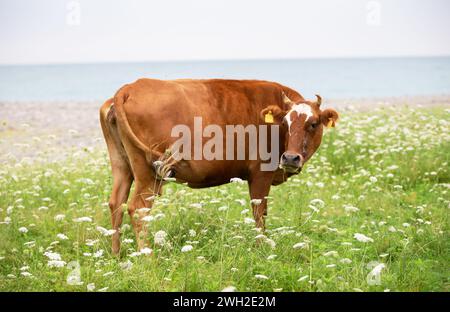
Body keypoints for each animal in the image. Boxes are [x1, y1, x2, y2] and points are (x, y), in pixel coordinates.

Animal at [98, 78, 338, 254]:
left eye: (313, 124)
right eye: (286, 123)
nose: (290, 158)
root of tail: (130, 87)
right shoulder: (261, 173)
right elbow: (259, 214)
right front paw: (261, 249)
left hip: (122, 164)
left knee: (116, 203)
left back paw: (116, 255)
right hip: (147, 173)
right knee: (138, 209)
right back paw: (147, 258)